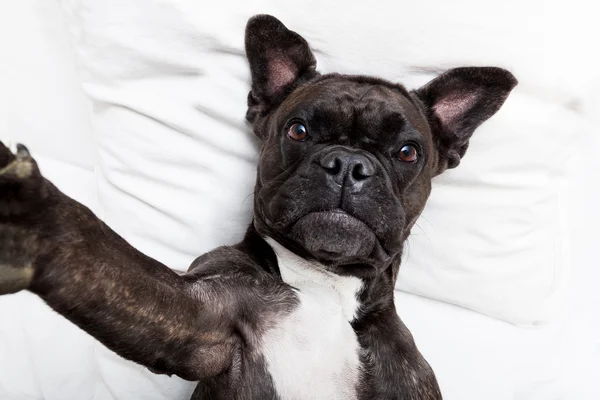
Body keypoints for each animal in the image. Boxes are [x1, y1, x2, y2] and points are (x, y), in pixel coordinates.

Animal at [0, 14, 516, 400]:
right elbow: (105, 255)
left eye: (408, 152)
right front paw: (35, 222)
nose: (349, 164)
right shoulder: (197, 316)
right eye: (298, 130)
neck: (325, 285)